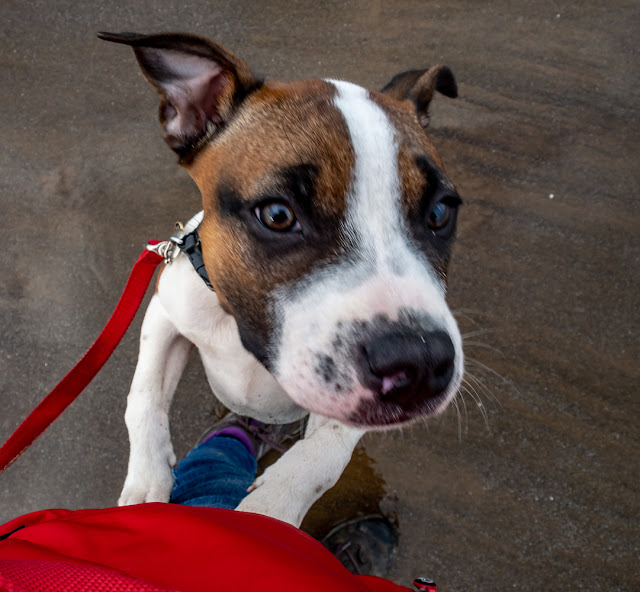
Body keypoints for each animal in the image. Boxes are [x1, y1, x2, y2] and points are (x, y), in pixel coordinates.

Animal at [101, 31, 464, 528]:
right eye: (277, 215)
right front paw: (146, 482)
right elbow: (143, 396)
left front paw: (269, 511)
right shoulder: (165, 313)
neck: (238, 330)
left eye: (440, 212)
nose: (422, 364)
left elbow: (322, 457)